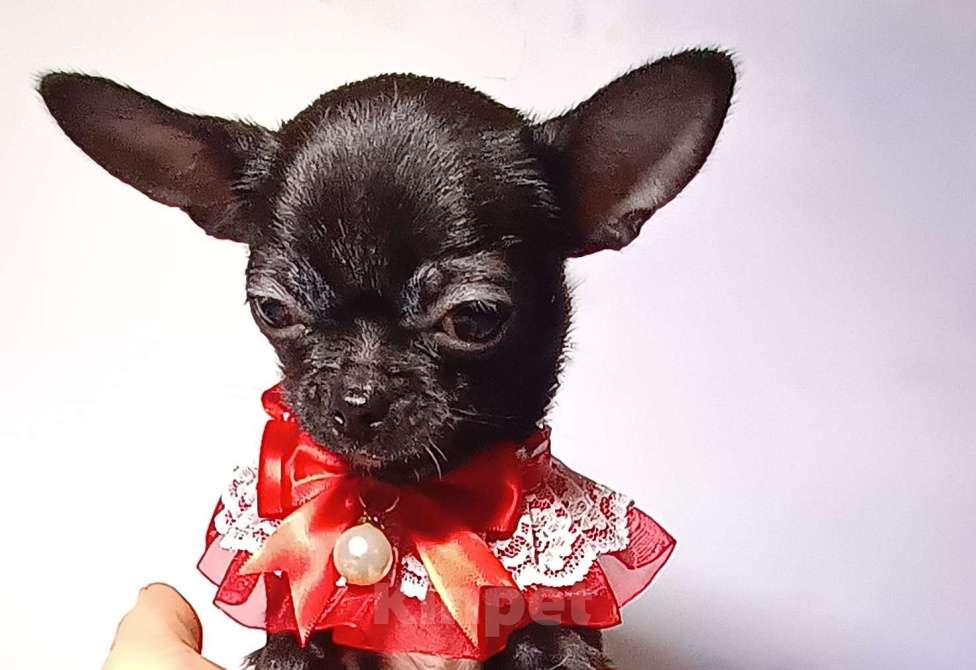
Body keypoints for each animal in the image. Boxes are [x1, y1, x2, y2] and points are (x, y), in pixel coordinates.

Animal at [39, 48, 734, 670]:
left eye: (475, 319)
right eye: (273, 309)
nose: (356, 399)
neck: (411, 506)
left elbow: (559, 645)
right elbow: (292, 648)